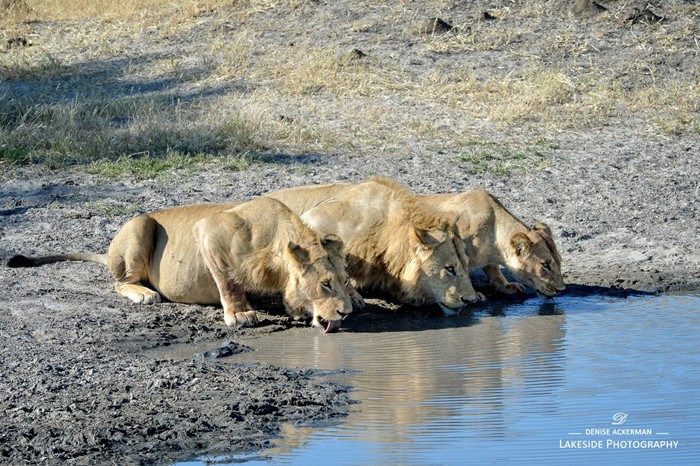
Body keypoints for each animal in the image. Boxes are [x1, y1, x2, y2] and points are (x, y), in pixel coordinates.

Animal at [6, 197, 352, 332]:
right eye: (325, 283)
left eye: (346, 281)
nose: (347, 312)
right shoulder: (208, 229)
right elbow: (228, 280)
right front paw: (240, 314)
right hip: (141, 224)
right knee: (121, 281)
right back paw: (144, 294)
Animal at [418, 191, 568, 296]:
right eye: (545, 265)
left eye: (559, 262)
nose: (561, 289)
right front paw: (474, 295)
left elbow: (494, 270)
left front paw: (506, 286)